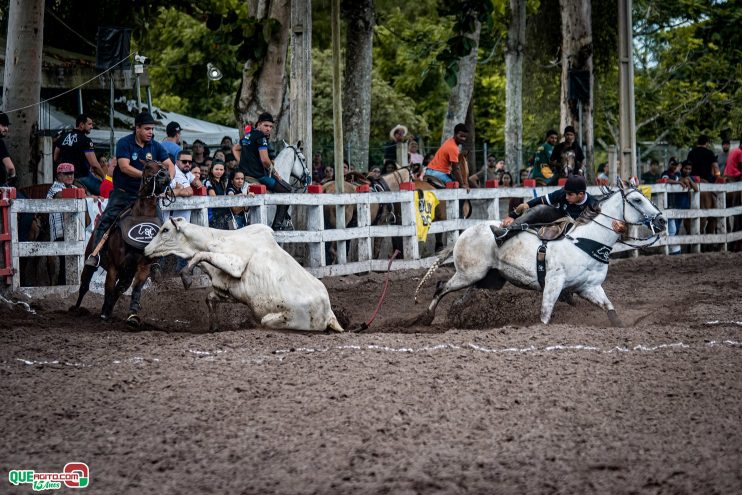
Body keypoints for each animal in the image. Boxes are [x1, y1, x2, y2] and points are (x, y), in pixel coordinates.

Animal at [71, 161, 171, 328]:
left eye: (165, 167)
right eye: (147, 167)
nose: (164, 176)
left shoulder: (143, 266)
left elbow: (135, 289)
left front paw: (132, 316)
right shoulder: (114, 267)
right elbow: (108, 288)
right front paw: (104, 313)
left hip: (128, 272)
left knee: (120, 288)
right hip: (90, 261)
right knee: (85, 285)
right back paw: (76, 309)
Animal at [145, 218, 346, 332]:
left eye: (165, 230)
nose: (146, 249)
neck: (215, 238)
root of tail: (329, 314)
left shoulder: (236, 265)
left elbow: (200, 255)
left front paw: (186, 276)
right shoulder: (228, 291)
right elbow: (209, 298)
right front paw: (213, 327)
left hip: (273, 319)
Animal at [418, 180, 668, 328]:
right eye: (637, 199)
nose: (662, 221)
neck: (585, 242)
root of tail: (464, 233)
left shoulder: (590, 287)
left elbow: (610, 310)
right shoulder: (554, 283)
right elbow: (545, 315)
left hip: (489, 279)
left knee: (460, 296)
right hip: (468, 274)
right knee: (441, 287)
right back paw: (425, 318)